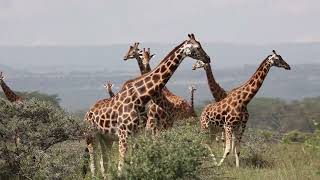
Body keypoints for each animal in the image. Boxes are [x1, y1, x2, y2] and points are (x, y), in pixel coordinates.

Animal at [85, 33, 210, 177]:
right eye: (197, 47)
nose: (208, 58)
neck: (140, 97)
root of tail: (87, 113)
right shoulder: (123, 134)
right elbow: (121, 165)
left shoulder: (137, 133)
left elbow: (132, 161)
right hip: (91, 136)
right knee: (93, 163)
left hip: (106, 138)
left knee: (103, 162)